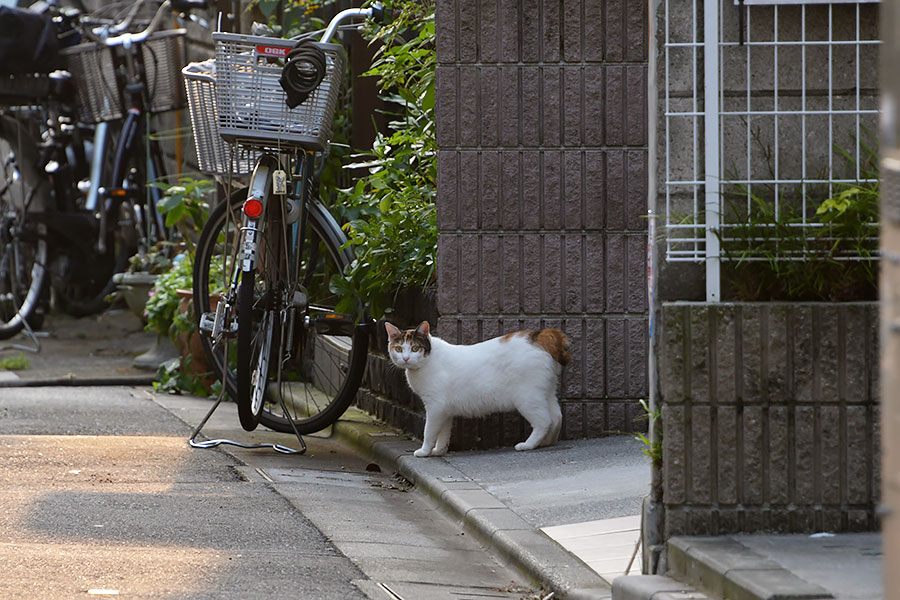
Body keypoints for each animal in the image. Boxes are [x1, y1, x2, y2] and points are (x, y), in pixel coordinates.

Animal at [384, 322, 568, 458]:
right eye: (398, 349)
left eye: (415, 348)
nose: (406, 358)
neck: (428, 361)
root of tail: (539, 336)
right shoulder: (444, 412)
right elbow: (443, 434)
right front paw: (439, 451)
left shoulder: (436, 407)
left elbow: (429, 431)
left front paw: (424, 451)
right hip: (546, 393)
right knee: (556, 417)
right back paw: (546, 442)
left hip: (527, 398)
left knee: (544, 421)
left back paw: (528, 445)